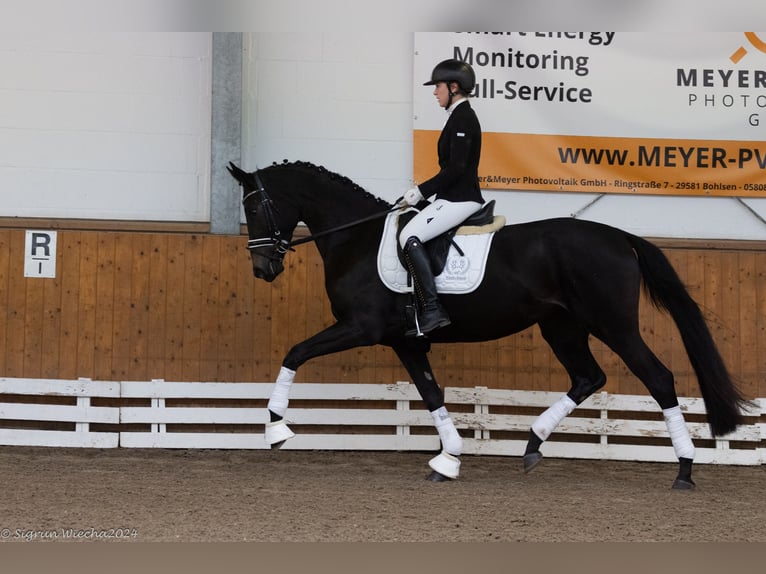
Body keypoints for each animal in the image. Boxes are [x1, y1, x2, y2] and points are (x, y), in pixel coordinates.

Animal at [226, 162, 752, 490]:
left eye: (253, 207)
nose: (262, 269)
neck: (356, 237)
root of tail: (620, 237)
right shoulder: (405, 342)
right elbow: (431, 393)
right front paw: (448, 459)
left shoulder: (362, 328)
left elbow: (294, 352)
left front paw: (276, 428)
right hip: (562, 327)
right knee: (588, 377)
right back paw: (533, 444)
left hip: (614, 326)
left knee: (658, 378)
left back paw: (684, 469)